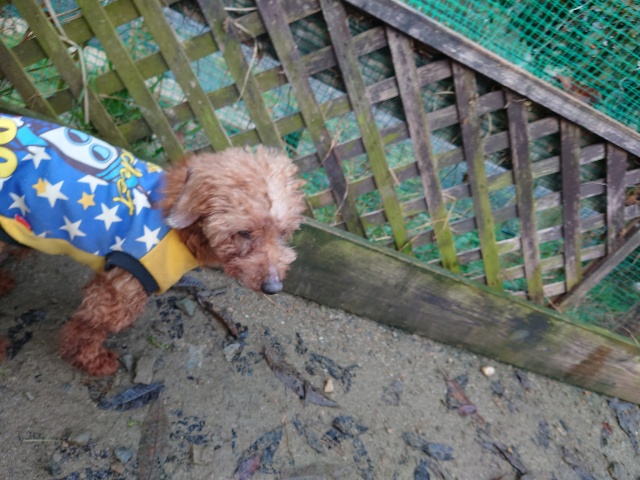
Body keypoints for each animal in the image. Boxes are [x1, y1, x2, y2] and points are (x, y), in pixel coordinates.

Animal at [0, 114, 305, 375]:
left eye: (284, 232)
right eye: (244, 232)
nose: (273, 287)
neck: (178, 224)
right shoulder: (123, 285)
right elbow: (91, 324)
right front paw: (91, 359)